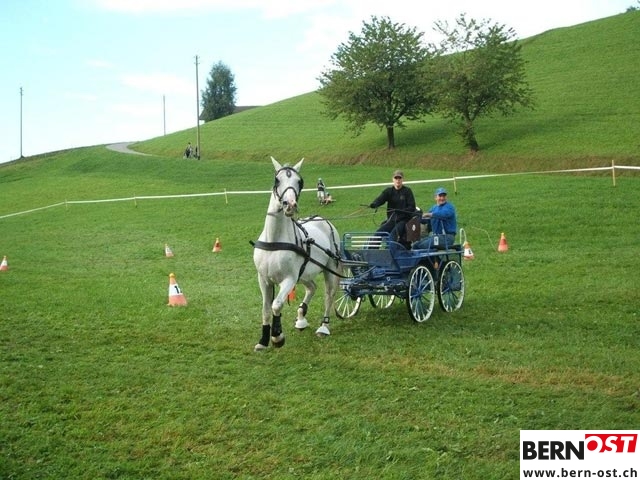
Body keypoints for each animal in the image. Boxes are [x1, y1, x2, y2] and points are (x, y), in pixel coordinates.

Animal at [251, 157, 342, 352]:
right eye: (277, 180)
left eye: (299, 182)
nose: (290, 205)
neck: (274, 240)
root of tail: (324, 221)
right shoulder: (263, 279)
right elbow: (265, 309)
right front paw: (263, 340)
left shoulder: (289, 279)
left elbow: (276, 305)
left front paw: (277, 337)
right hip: (304, 274)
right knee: (312, 287)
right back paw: (301, 318)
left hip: (329, 269)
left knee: (329, 295)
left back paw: (324, 327)